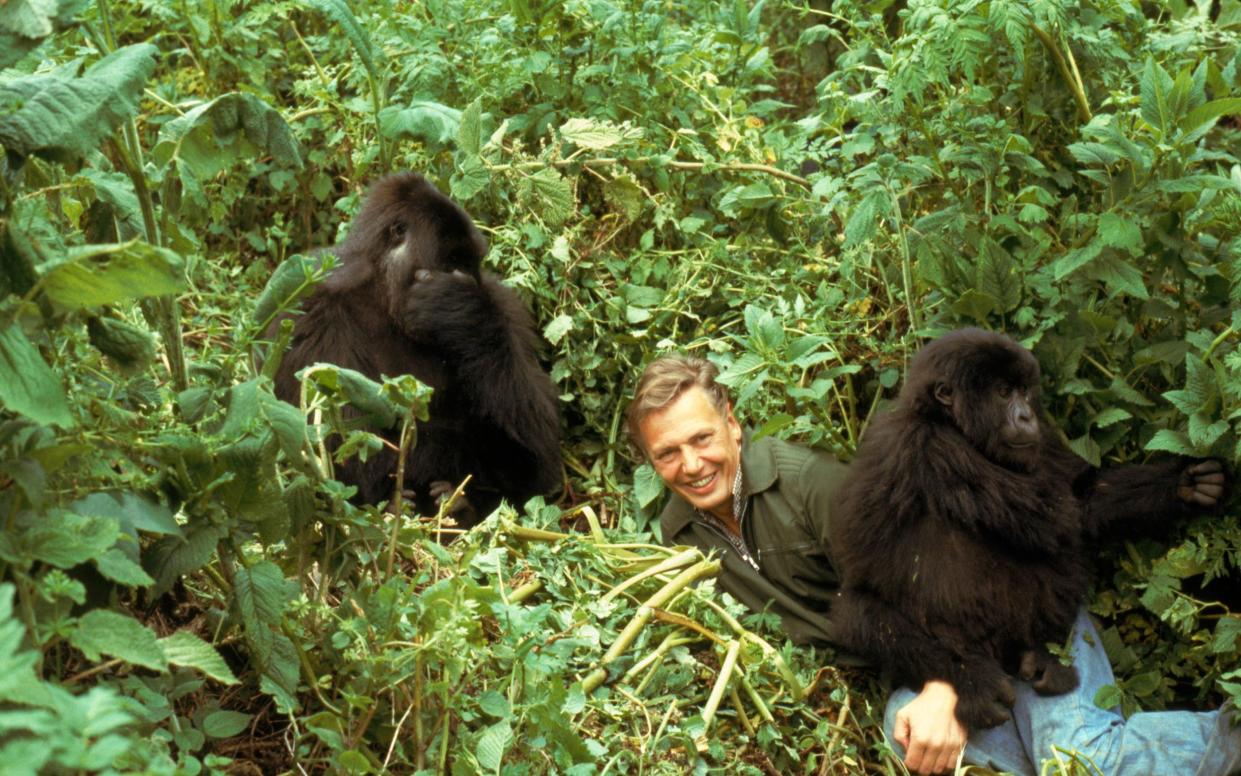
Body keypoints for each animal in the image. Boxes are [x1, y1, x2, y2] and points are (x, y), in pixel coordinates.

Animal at [275, 168, 563, 521]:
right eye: (452, 260)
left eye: (469, 263)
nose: (470, 279)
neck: (380, 292)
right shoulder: (304, 299)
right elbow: (332, 439)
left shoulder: (503, 307)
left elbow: (538, 446)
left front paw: (457, 310)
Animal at [828, 327, 1226, 725]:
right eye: (1003, 392)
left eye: (1022, 390)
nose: (1025, 416)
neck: (950, 425)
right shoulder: (916, 446)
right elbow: (862, 598)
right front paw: (973, 679)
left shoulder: (1043, 438)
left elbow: (1080, 500)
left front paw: (1183, 485)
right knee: (859, 609)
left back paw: (1043, 652)